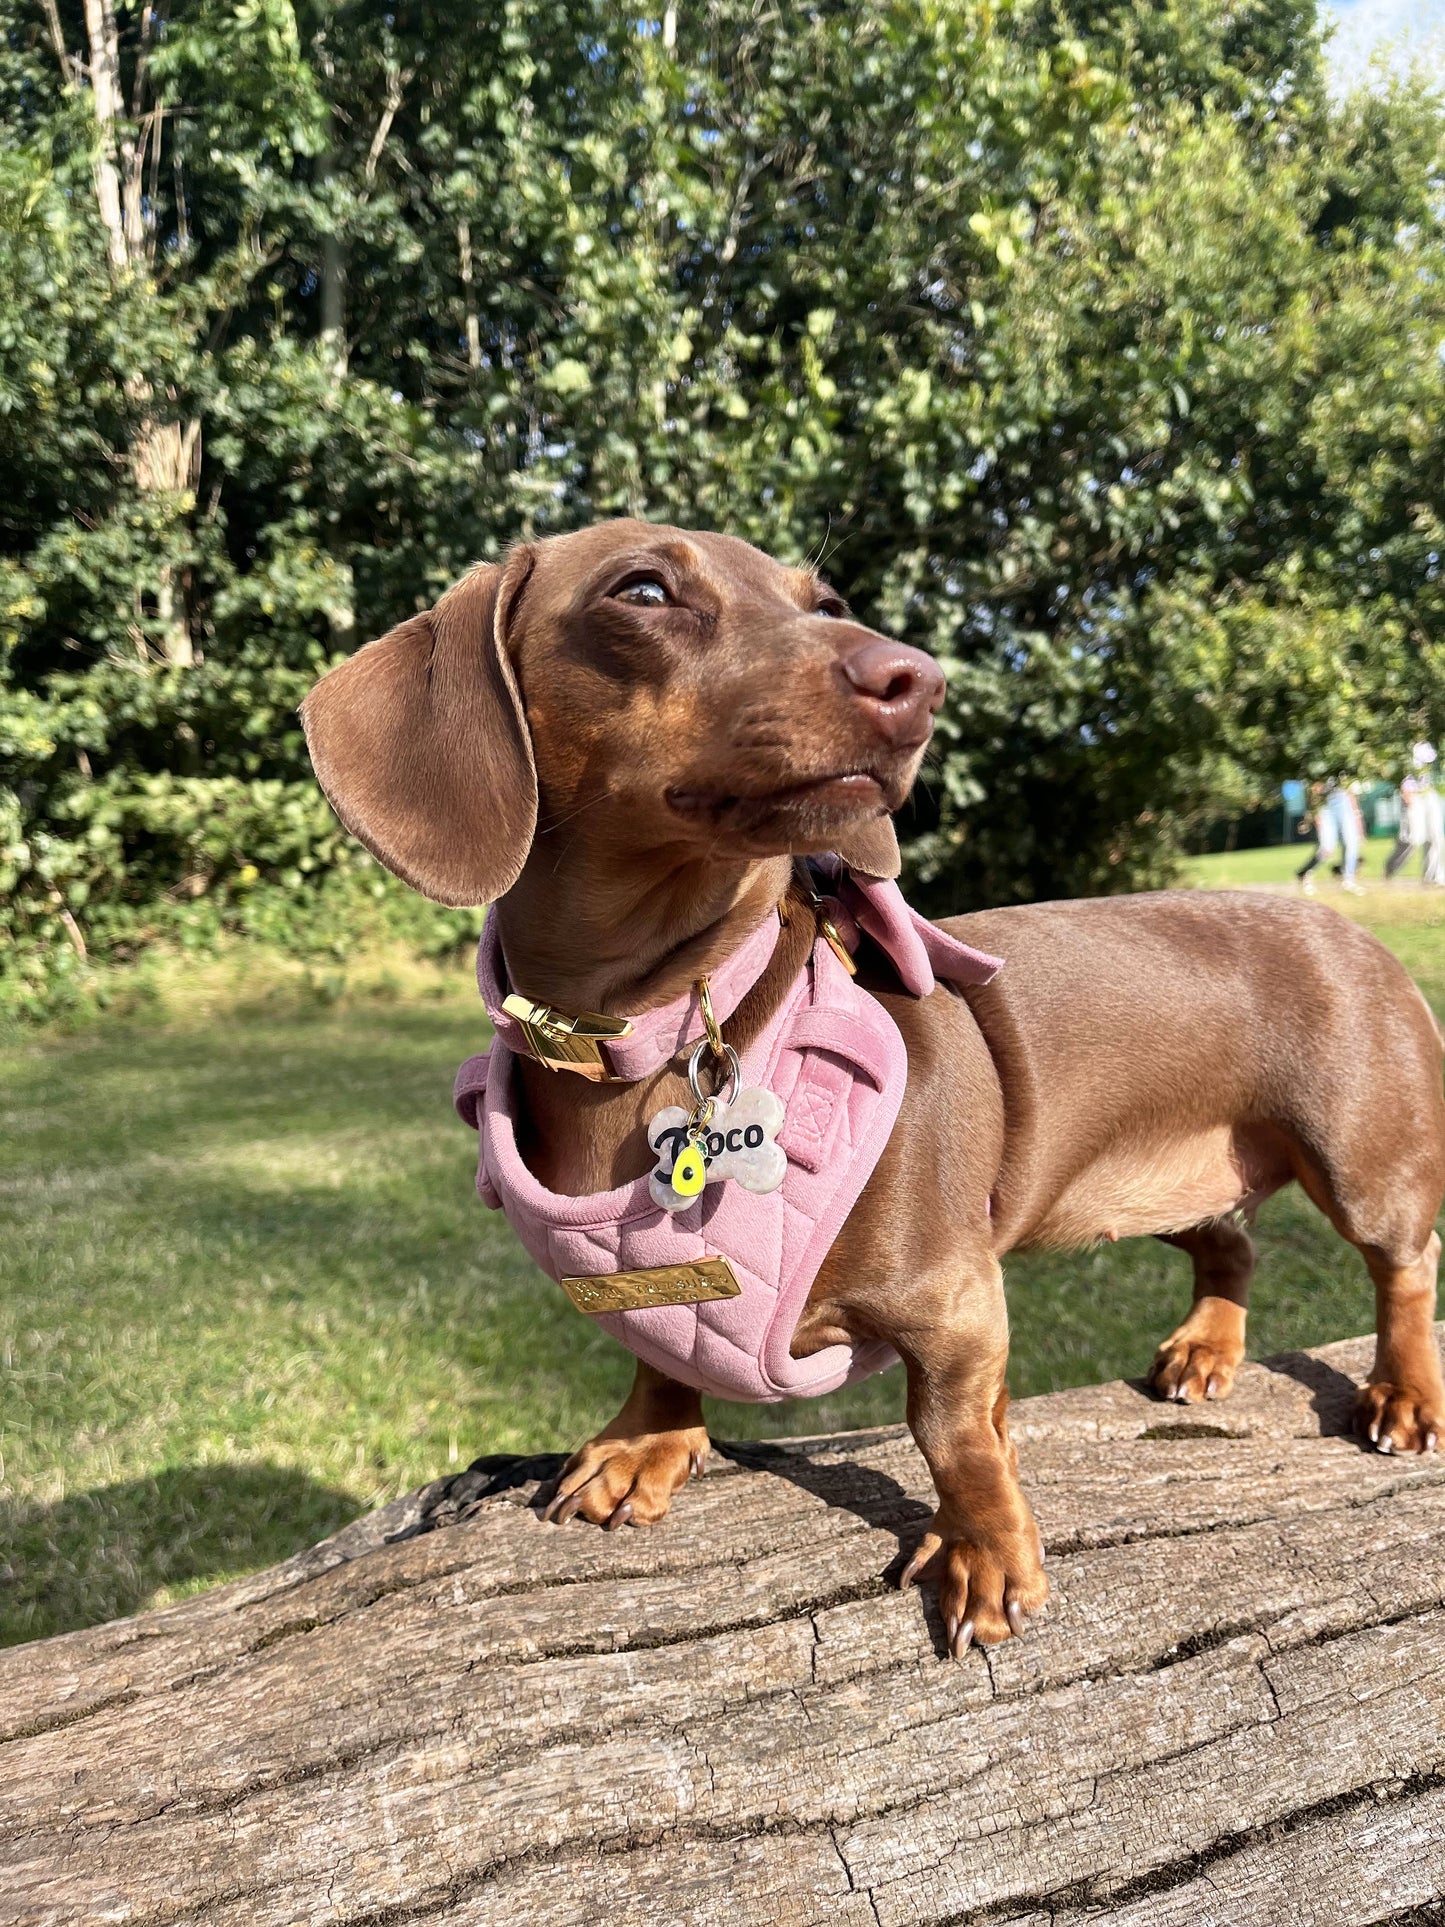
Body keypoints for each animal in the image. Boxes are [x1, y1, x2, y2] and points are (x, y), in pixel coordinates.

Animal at [302, 520, 1445, 1649]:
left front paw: (983, 1546)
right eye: (642, 589)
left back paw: (1402, 1393)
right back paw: (1206, 1348)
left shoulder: (951, 1298)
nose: (919, 681)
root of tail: (1355, 933)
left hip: (1360, 1165)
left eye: (826, 601)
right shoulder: (666, 1285)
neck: (650, 1025)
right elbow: (662, 1343)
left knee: (1402, 1268)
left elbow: (950, 1429)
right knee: (1228, 1243)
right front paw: (646, 1440)